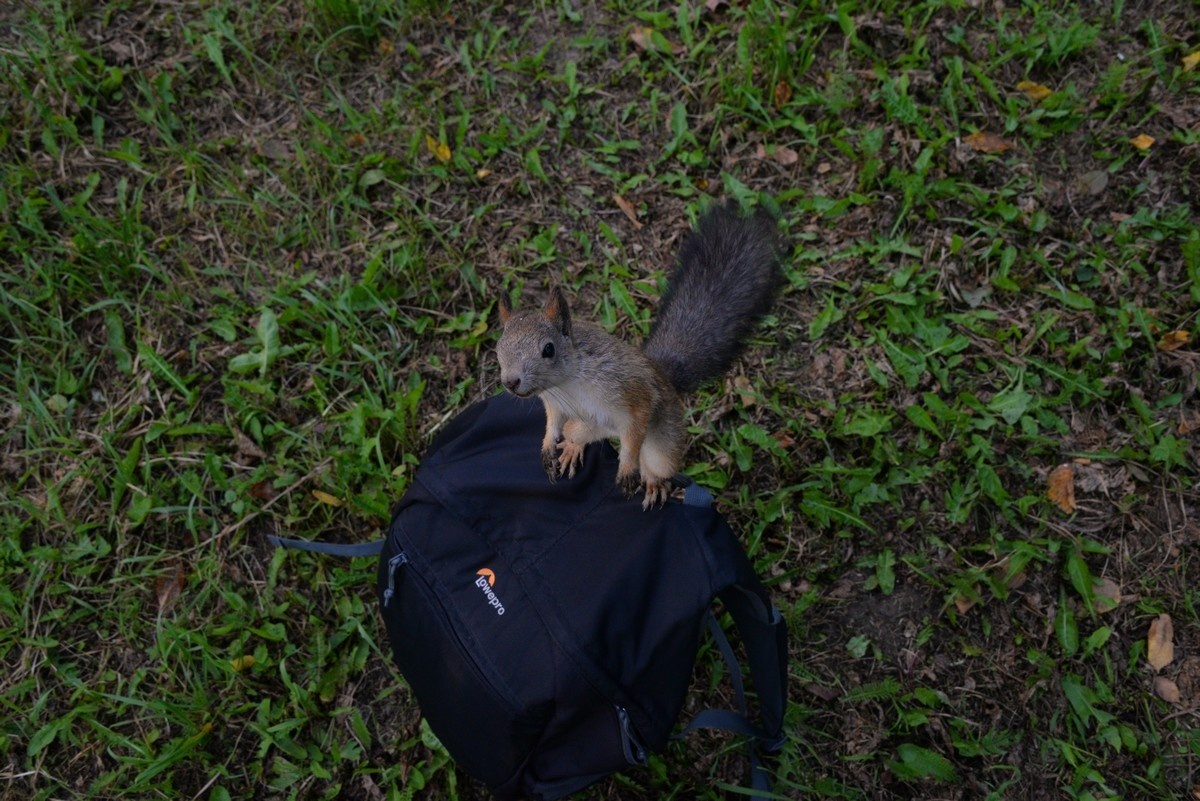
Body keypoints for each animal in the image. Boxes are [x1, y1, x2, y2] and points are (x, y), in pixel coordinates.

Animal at [495, 204, 785, 509]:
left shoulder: (631, 393)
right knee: (576, 433)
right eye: (498, 348)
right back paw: (572, 448)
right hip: (582, 425)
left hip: (662, 443)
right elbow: (552, 423)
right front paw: (548, 446)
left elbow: (634, 434)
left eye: (548, 349)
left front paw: (627, 471)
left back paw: (654, 482)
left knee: (656, 462)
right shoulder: (555, 403)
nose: (511, 382)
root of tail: (663, 373)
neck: (567, 383)